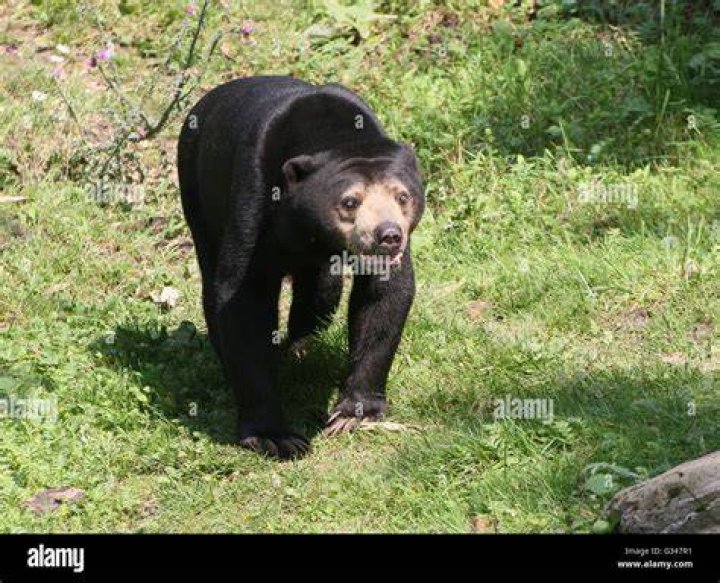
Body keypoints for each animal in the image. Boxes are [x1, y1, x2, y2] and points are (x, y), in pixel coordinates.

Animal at [177, 76, 424, 459]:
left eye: (403, 196)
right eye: (350, 202)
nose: (388, 236)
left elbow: (384, 297)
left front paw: (352, 413)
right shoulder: (255, 196)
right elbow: (242, 299)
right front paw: (275, 437)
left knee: (321, 290)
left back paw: (300, 346)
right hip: (197, 188)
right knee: (212, 279)